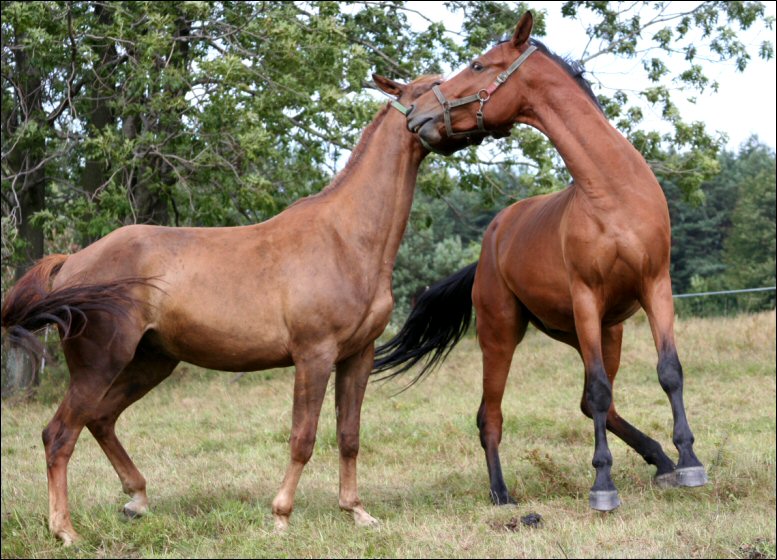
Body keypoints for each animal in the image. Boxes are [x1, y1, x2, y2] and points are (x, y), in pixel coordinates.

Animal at [1, 72, 478, 544]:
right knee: (59, 435)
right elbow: (303, 437)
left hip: (151, 362)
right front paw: (281, 516)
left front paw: (356, 511)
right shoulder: (314, 355)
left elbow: (349, 435)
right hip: (100, 366)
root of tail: (70, 262)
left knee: (100, 420)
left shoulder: (358, 355)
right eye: (436, 87)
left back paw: (136, 500)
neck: (345, 238)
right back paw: (65, 531)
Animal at [372, 12, 708, 512]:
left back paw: (661, 461)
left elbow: (669, 372)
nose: (420, 118)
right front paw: (602, 485)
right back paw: (501, 493)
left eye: (478, 65)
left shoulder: (656, 286)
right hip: (503, 334)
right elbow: (600, 390)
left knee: (591, 402)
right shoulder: (587, 297)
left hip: (600, 332)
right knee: (492, 414)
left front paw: (688, 461)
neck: (612, 194)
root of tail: (491, 243)